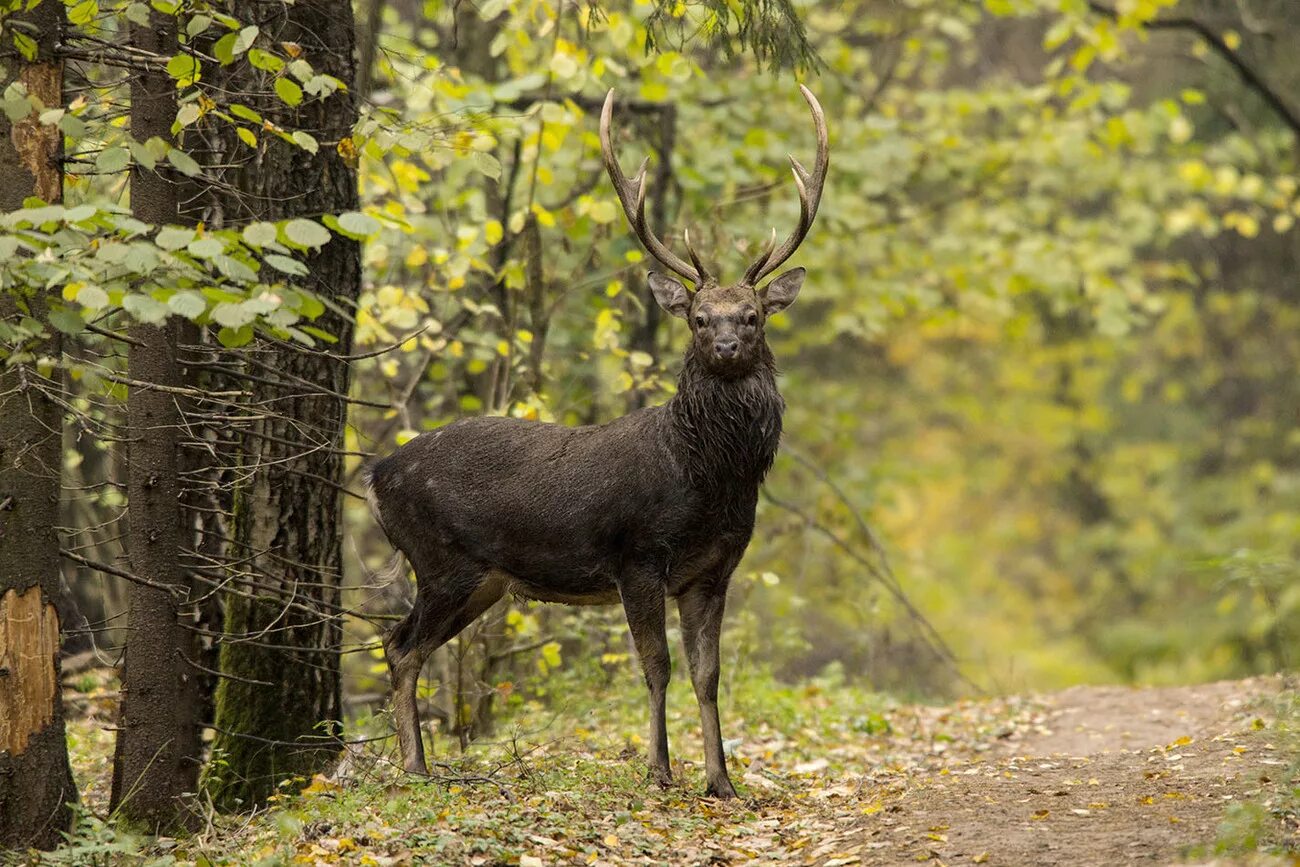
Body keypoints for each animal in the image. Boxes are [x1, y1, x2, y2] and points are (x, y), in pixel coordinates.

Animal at [364, 88, 832, 800]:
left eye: (752, 316)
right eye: (699, 318)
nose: (726, 345)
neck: (705, 477)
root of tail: (376, 475)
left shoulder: (715, 569)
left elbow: (708, 674)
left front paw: (721, 781)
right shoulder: (636, 555)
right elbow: (656, 666)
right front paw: (659, 771)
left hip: (483, 581)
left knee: (403, 644)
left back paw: (420, 764)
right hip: (439, 559)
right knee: (399, 645)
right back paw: (417, 768)